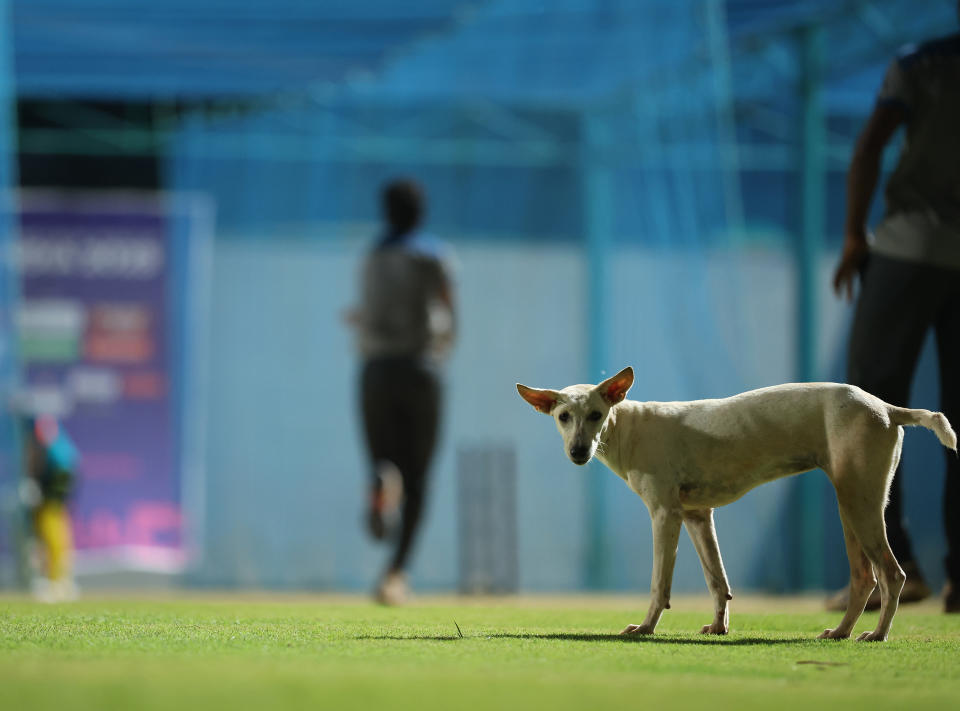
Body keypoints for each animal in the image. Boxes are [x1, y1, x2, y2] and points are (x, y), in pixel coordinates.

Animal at [520, 370, 956, 644]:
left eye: (596, 415)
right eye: (563, 416)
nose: (579, 452)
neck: (630, 426)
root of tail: (886, 407)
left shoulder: (664, 516)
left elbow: (660, 585)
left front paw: (645, 628)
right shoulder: (697, 516)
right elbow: (718, 582)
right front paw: (718, 626)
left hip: (859, 504)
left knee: (892, 574)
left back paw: (878, 634)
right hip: (852, 506)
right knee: (865, 578)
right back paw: (840, 632)